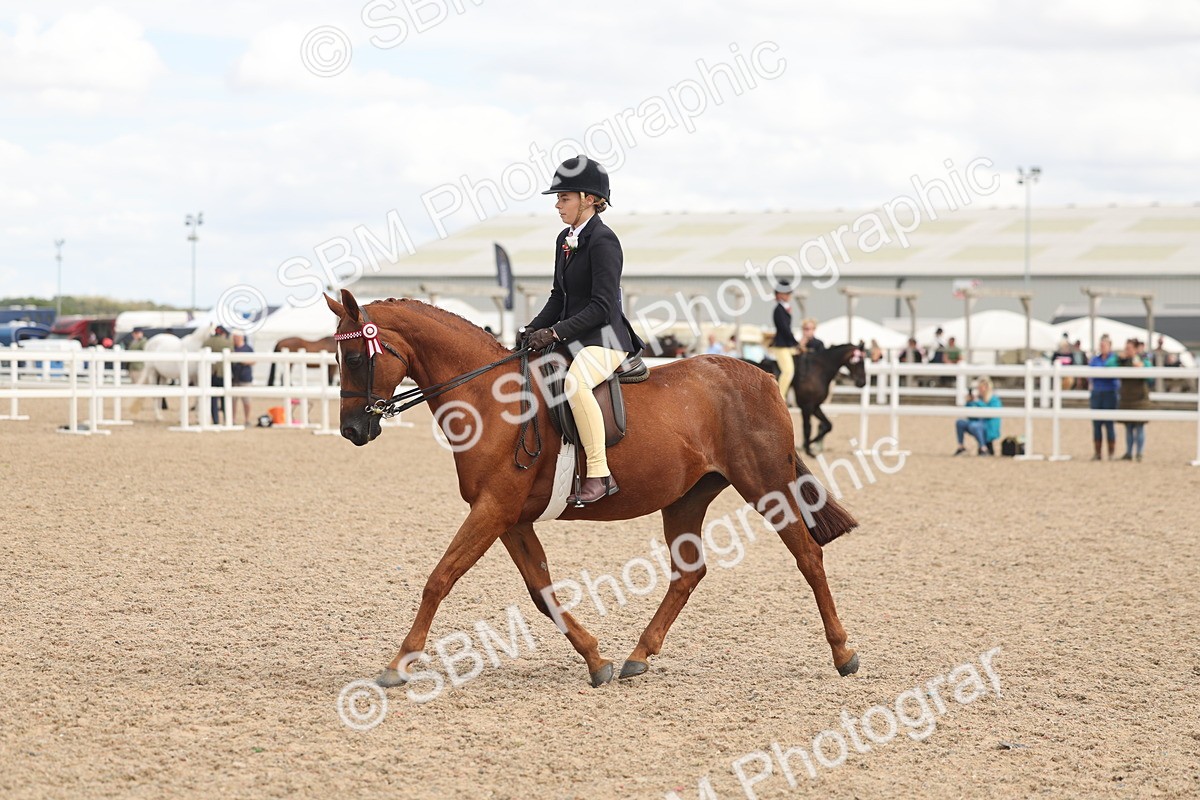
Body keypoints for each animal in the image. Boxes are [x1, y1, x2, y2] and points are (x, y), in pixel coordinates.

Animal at [325, 289, 860, 689]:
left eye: (354, 357)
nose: (352, 430)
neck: (489, 398)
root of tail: (765, 378)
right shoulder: (510, 517)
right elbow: (541, 591)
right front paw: (595, 659)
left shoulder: (493, 509)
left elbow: (439, 578)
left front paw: (398, 664)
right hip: (685, 499)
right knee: (688, 572)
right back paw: (637, 655)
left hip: (766, 486)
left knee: (808, 556)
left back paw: (843, 653)